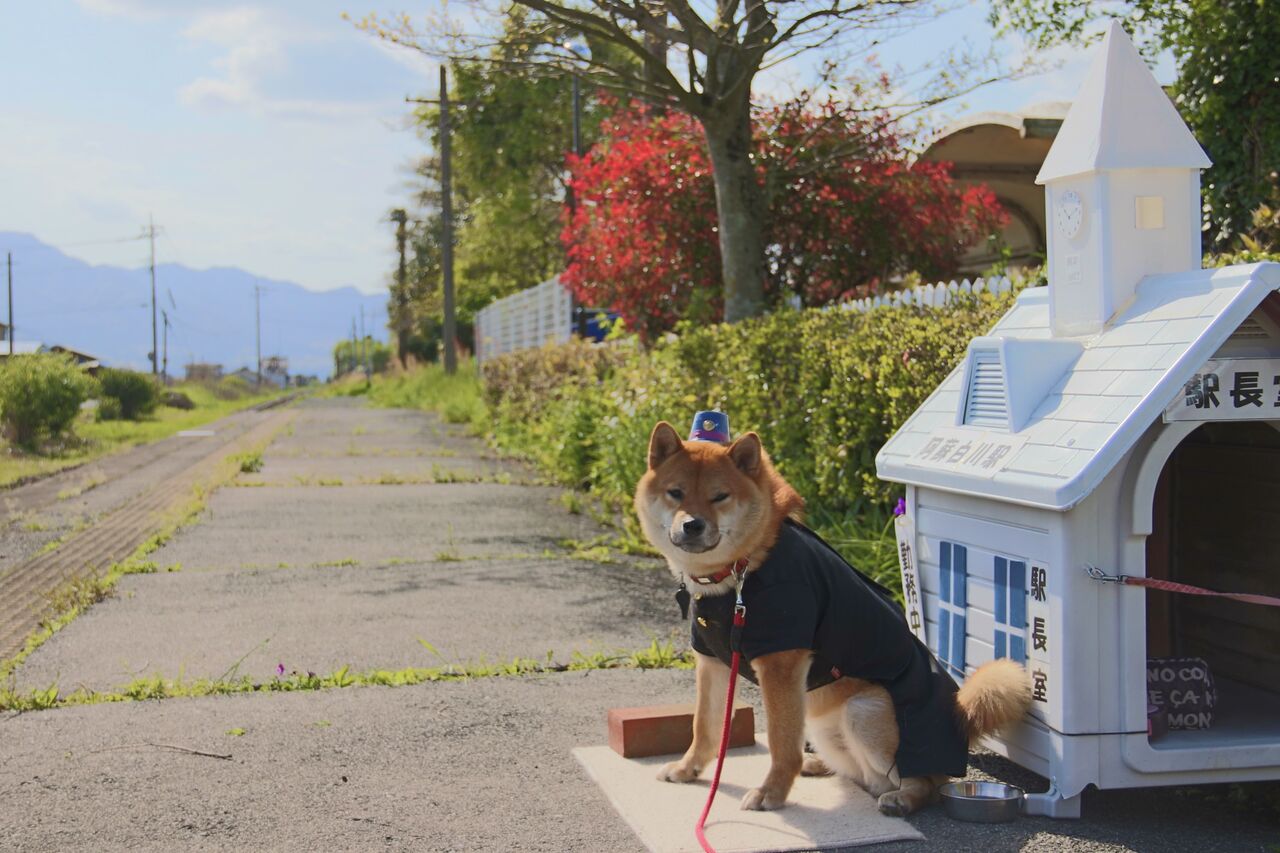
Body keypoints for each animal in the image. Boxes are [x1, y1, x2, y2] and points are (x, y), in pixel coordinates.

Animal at [634, 422, 1034, 814]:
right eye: (675, 493)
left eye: (720, 497)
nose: (693, 525)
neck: (739, 572)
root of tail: (962, 714)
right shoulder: (711, 659)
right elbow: (704, 726)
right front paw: (688, 769)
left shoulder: (781, 664)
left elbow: (780, 743)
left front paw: (772, 793)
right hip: (820, 722)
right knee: (862, 773)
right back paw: (820, 765)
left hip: (863, 709)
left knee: (924, 782)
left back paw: (902, 798)